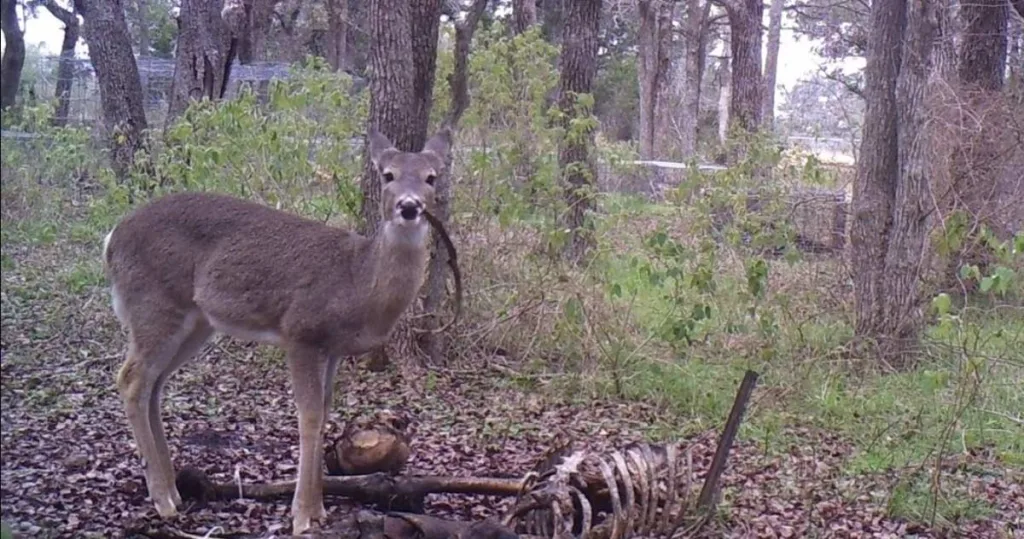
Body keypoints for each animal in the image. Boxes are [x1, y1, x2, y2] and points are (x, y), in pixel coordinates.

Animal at [102, 128, 452, 536]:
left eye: (431, 177)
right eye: (388, 175)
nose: (409, 207)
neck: (357, 282)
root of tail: (111, 239)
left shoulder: (332, 348)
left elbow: (326, 410)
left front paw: (319, 510)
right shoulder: (300, 331)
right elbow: (309, 415)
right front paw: (302, 517)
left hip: (196, 322)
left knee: (154, 385)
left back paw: (174, 491)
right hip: (154, 304)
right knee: (130, 379)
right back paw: (162, 501)